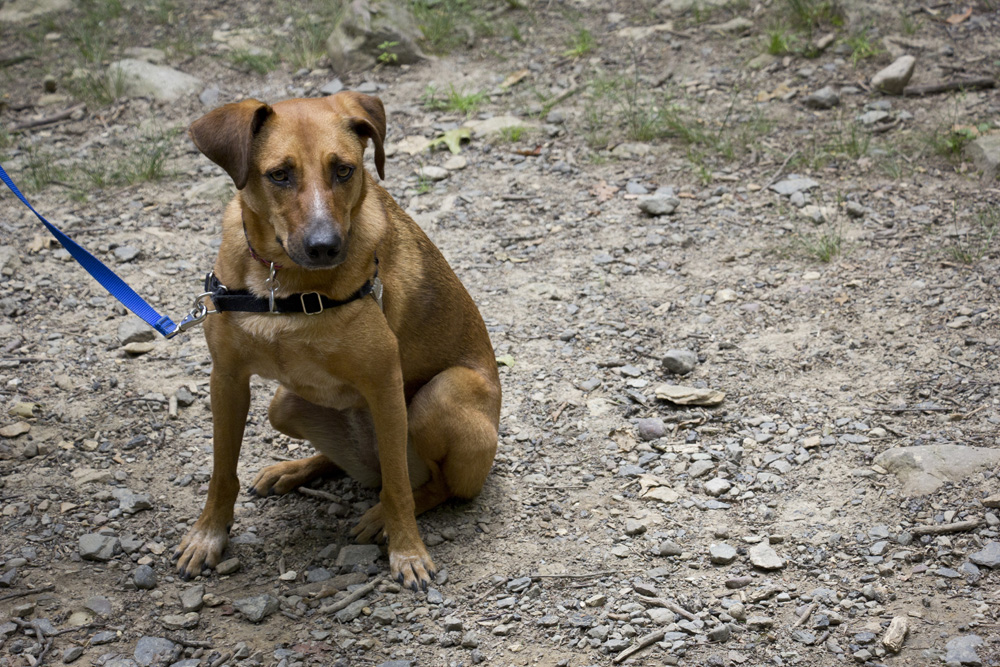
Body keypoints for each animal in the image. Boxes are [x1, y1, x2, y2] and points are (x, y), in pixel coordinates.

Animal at [173, 92, 504, 588]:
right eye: (279, 174)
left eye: (344, 170)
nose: (325, 246)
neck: (283, 285)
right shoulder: (227, 378)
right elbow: (221, 471)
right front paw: (207, 535)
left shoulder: (385, 384)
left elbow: (399, 491)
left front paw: (408, 551)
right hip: (283, 405)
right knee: (360, 467)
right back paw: (293, 471)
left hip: (440, 396)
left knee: (423, 482)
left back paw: (380, 516)